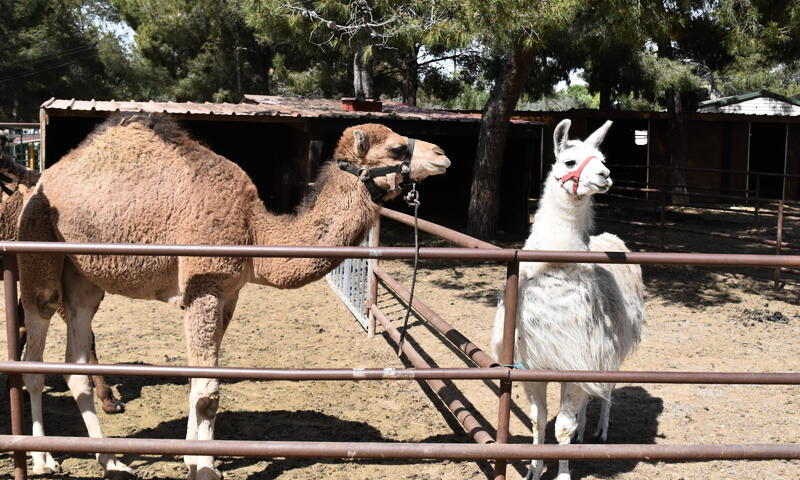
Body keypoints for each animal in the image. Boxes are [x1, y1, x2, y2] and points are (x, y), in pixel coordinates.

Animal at [17, 114, 450, 478]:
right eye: (396, 148)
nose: (442, 154)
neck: (254, 231)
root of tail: (43, 179)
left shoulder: (229, 294)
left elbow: (199, 384)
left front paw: (193, 459)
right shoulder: (202, 287)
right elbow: (208, 391)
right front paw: (205, 468)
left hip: (84, 280)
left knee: (74, 365)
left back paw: (113, 462)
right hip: (38, 251)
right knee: (33, 355)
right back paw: (43, 459)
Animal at [490, 120, 648, 480]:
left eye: (602, 159)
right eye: (570, 161)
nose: (605, 175)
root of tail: (611, 237)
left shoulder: (578, 354)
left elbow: (561, 426)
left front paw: (562, 473)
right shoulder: (534, 363)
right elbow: (538, 421)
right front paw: (533, 470)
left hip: (610, 344)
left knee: (605, 387)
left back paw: (600, 430)